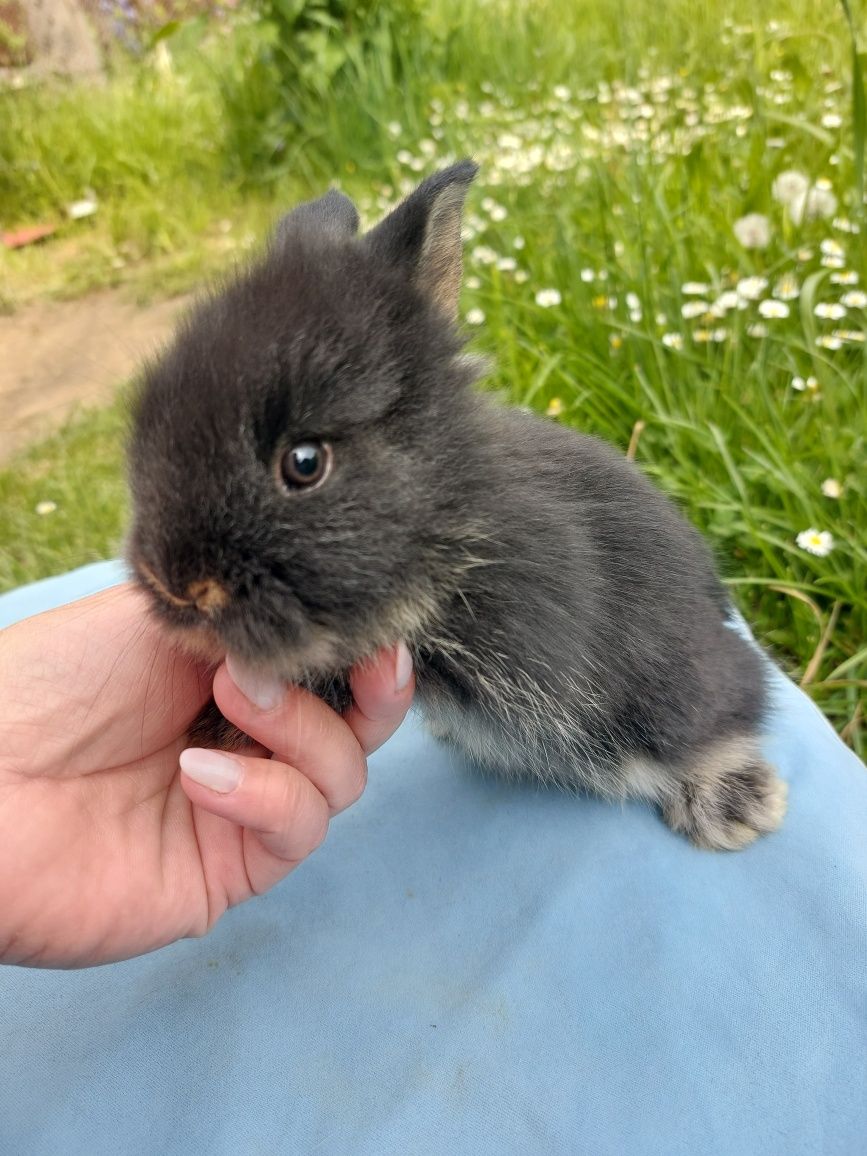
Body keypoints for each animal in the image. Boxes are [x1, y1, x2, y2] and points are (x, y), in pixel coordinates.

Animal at [127, 160, 786, 850]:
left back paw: (739, 805)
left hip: (675, 685)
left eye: (304, 463)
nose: (177, 586)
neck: (451, 515)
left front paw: (220, 730)